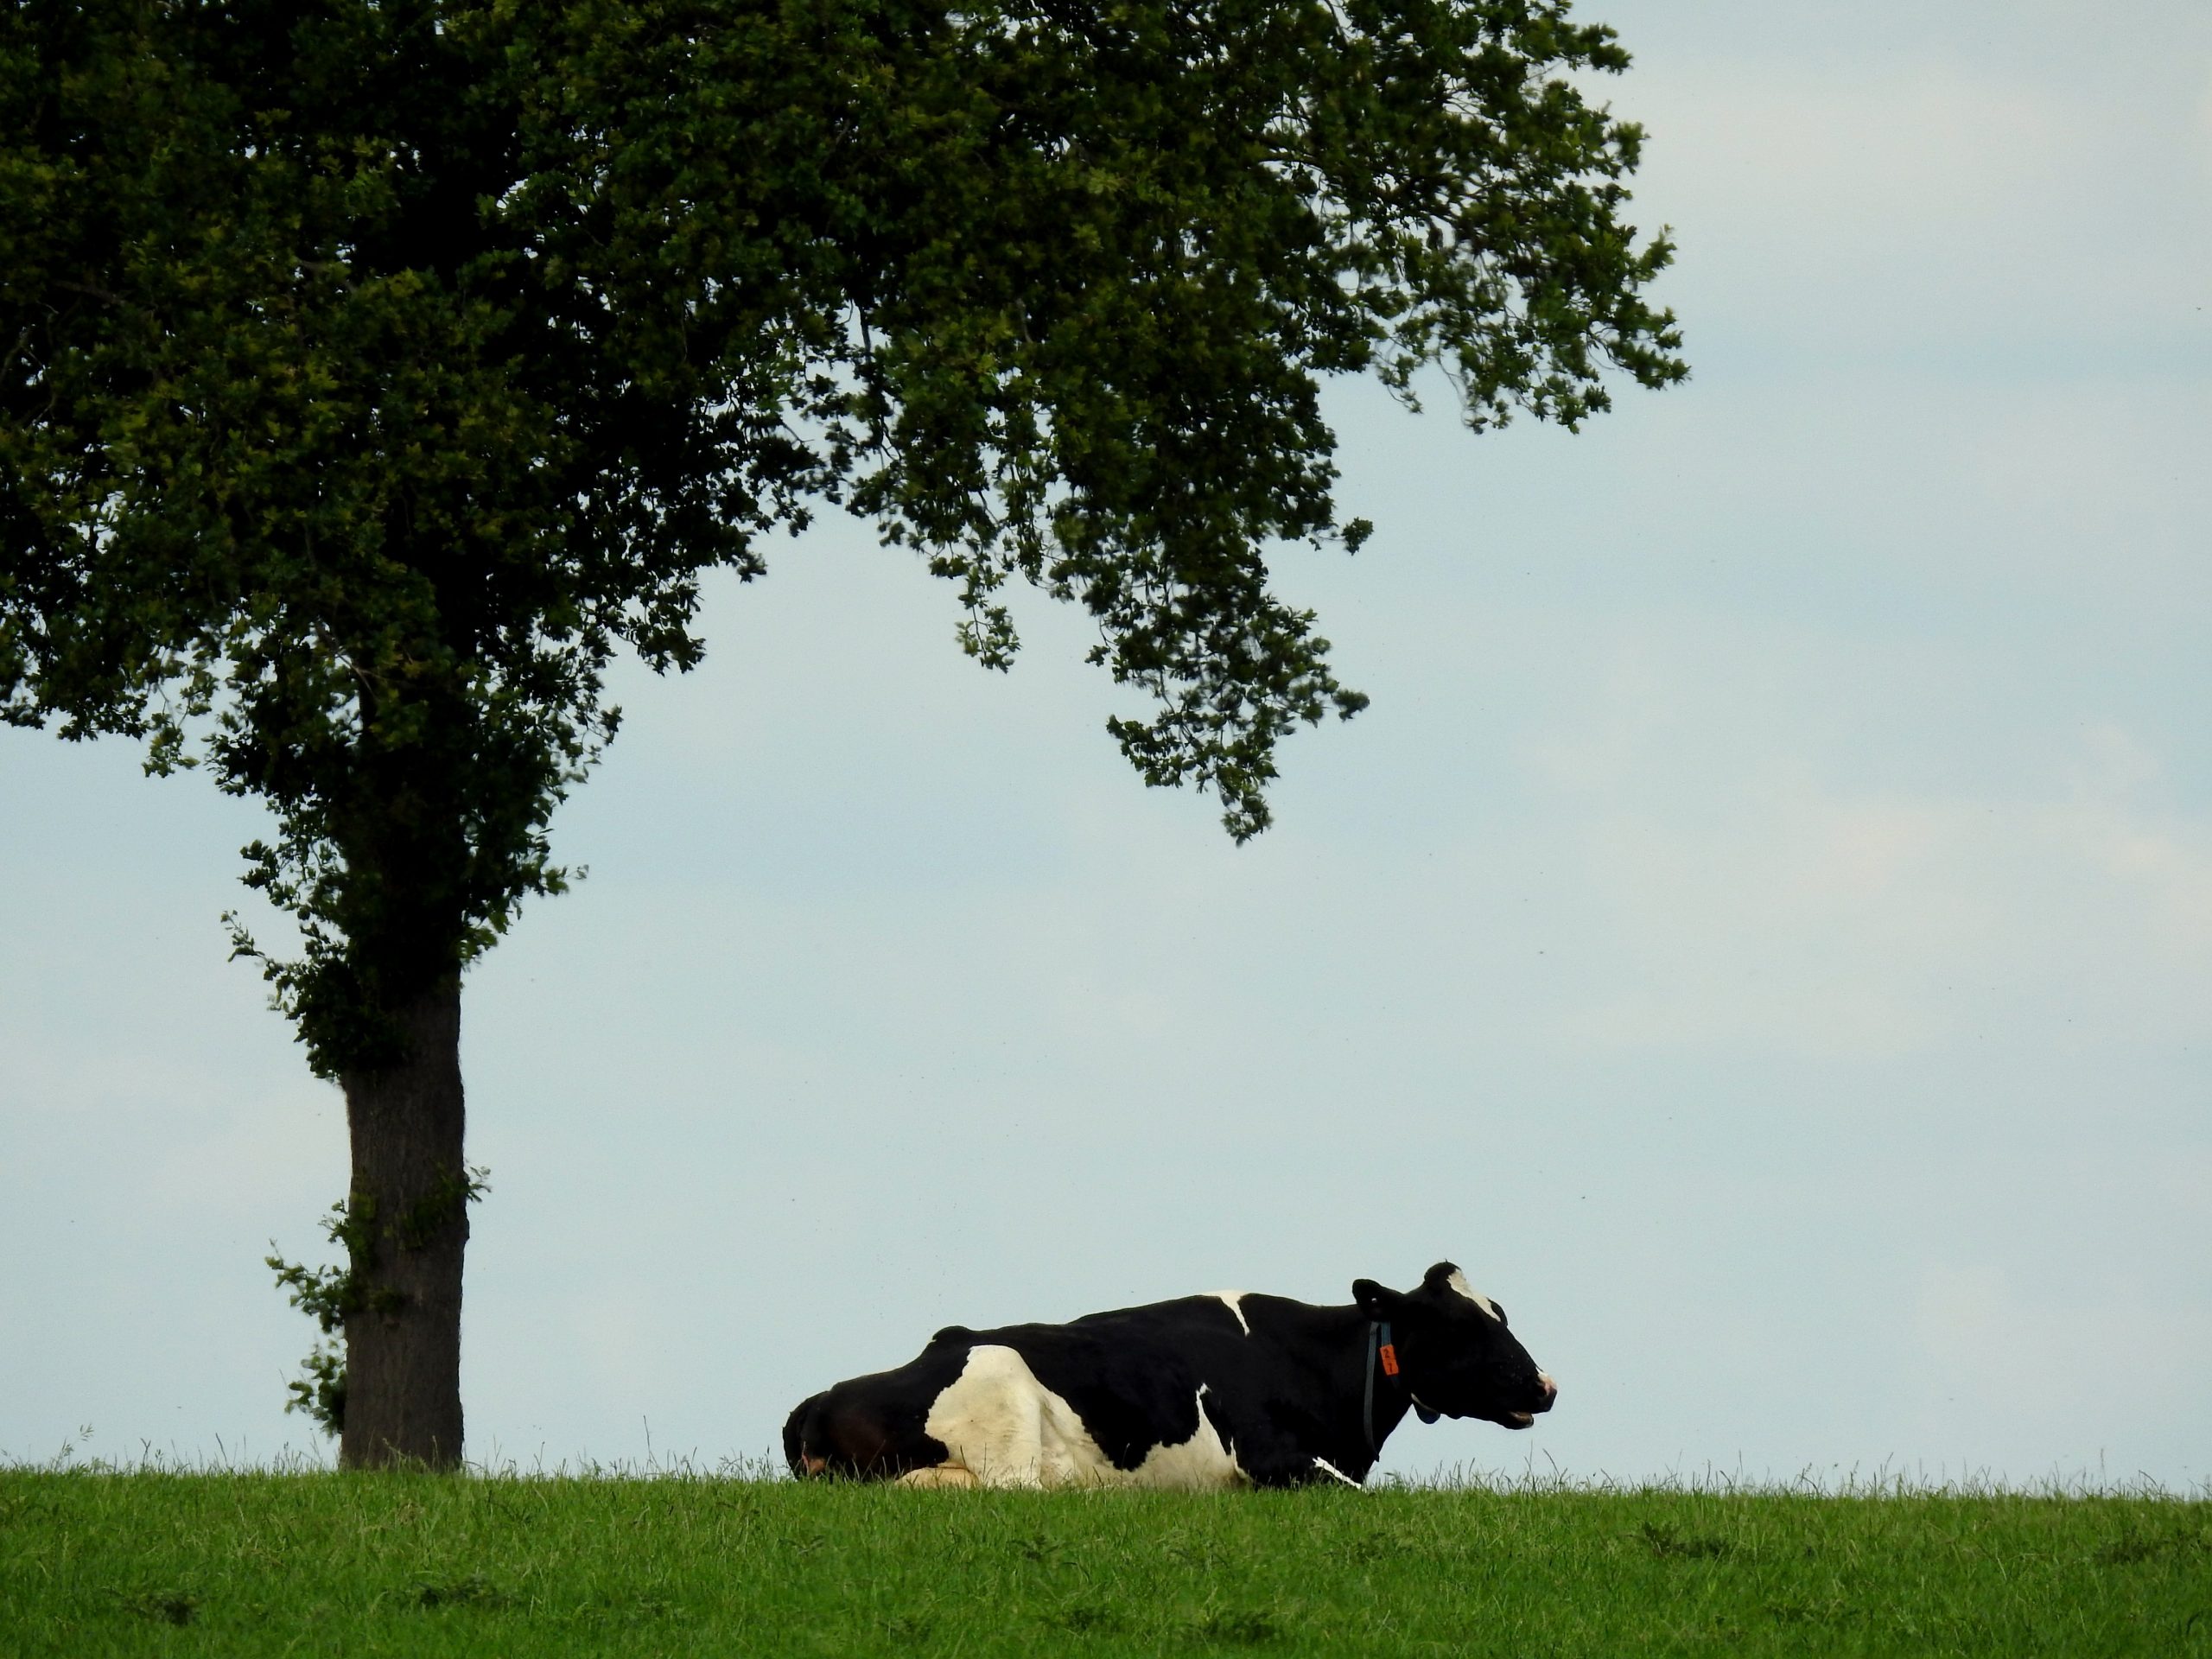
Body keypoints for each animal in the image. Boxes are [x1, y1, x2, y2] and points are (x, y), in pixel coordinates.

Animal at [782, 1261, 1556, 1489]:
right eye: (1461, 1326)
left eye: (1502, 1312)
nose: (1546, 1386)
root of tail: (817, 1399)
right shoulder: (1266, 1454)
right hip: (1003, 1401)